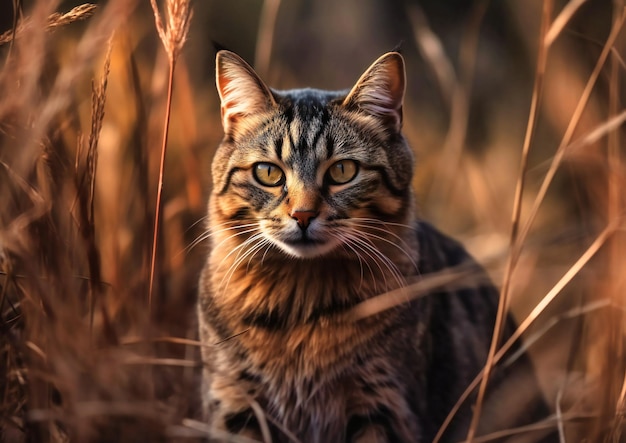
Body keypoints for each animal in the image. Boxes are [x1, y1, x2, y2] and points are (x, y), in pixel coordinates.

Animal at [196, 49, 552, 443]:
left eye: (342, 171)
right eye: (269, 173)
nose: (303, 215)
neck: (300, 302)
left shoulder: (383, 405)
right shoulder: (237, 400)